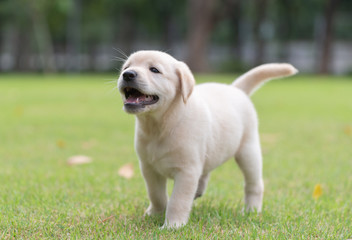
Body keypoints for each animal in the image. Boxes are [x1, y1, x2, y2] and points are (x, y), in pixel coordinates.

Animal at [117, 49, 296, 228]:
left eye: (154, 70)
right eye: (126, 67)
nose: (128, 74)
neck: (161, 125)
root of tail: (236, 89)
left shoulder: (187, 172)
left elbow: (177, 201)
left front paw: (172, 226)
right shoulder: (149, 168)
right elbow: (156, 195)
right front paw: (154, 213)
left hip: (248, 151)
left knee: (254, 184)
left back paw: (251, 210)